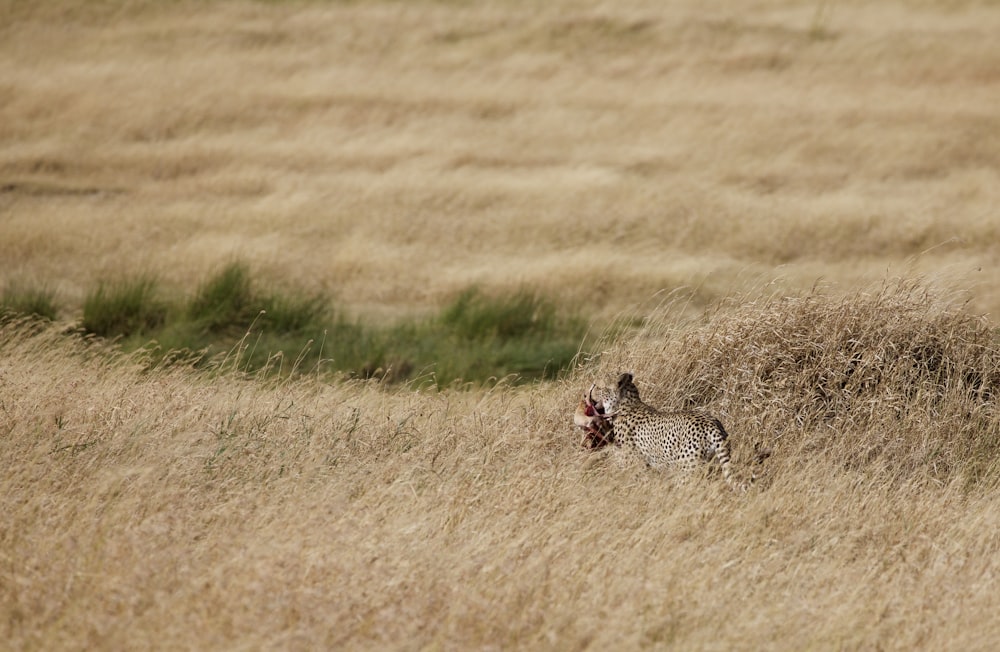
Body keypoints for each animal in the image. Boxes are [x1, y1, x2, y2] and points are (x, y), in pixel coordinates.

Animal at [592, 372, 752, 488]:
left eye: (598, 387)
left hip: (687, 470)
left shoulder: (636, 465)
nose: (591, 390)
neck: (626, 404)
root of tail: (711, 422)